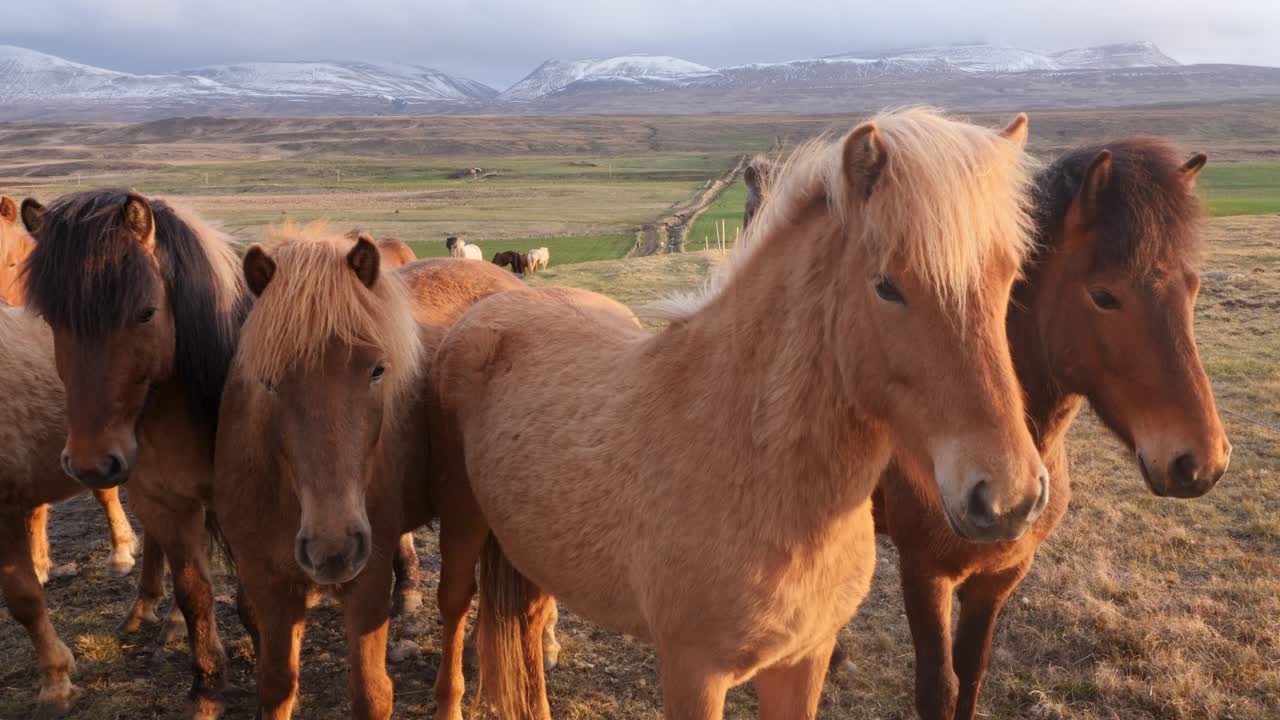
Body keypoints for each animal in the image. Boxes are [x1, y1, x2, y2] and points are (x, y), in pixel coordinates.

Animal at [20, 190, 247, 718]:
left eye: (145, 312)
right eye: (51, 320)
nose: (91, 462)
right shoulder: (167, 503)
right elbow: (194, 591)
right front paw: (207, 687)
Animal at [213, 227, 531, 718]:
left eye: (378, 370)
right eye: (267, 381)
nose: (333, 549)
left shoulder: (368, 583)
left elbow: (371, 693)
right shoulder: (268, 586)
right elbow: (277, 686)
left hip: (467, 515)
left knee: (457, 601)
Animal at [429, 107, 1049, 720]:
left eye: (1010, 276)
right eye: (887, 287)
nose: (1009, 499)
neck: (747, 461)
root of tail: (497, 302)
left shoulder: (803, 661)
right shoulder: (693, 674)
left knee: (530, 624)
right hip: (463, 523)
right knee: (455, 605)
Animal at [869, 137, 1231, 720]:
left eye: (1192, 286)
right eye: (1103, 295)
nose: (1202, 463)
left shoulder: (999, 578)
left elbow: (970, 674)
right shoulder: (924, 575)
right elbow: (938, 689)